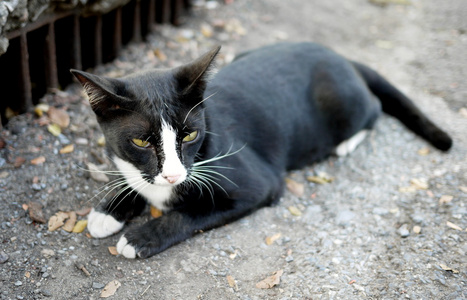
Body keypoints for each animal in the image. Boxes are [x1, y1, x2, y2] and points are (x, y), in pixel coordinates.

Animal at [72, 41, 454, 258]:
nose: (174, 174)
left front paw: (142, 237)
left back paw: (346, 142)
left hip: (342, 102)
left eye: (190, 134)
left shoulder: (258, 182)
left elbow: (191, 212)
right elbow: (136, 181)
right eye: (141, 141)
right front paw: (109, 210)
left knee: (373, 108)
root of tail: (339, 55)